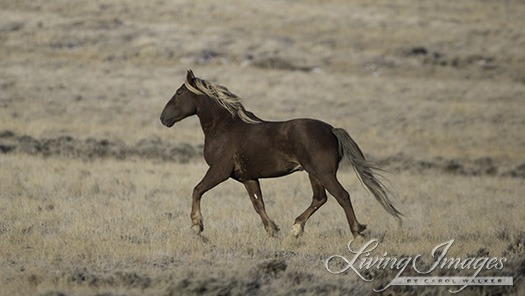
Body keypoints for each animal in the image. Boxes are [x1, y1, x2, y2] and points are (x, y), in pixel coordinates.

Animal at [160, 69, 402, 238]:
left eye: (179, 92)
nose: (164, 118)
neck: (225, 127)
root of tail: (331, 129)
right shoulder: (248, 177)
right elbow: (258, 204)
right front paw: (272, 231)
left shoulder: (219, 170)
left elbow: (197, 190)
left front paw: (196, 226)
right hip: (313, 173)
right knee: (320, 198)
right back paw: (296, 228)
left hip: (323, 172)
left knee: (342, 196)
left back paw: (356, 232)